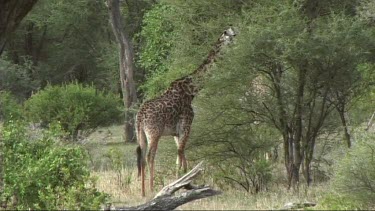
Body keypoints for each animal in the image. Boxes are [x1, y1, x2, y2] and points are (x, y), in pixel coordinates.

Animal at [136, 26, 235, 196]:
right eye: (231, 36)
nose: (237, 41)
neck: (191, 91)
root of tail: (140, 115)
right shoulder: (186, 125)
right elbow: (181, 153)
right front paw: (182, 184)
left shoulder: (176, 132)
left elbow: (180, 157)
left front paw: (179, 183)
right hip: (154, 132)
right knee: (150, 156)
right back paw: (151, 188)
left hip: (141, 134)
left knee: (142, 157)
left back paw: (143, 192)